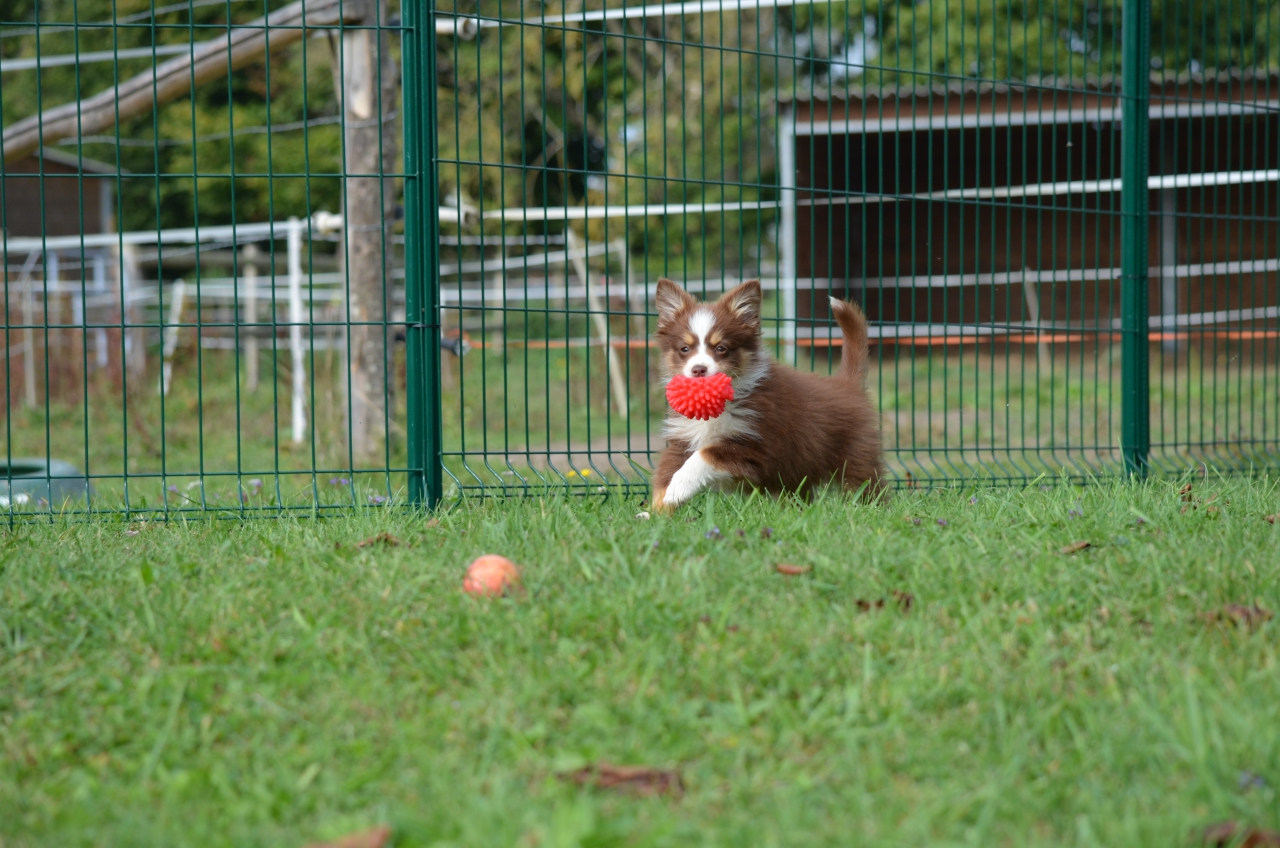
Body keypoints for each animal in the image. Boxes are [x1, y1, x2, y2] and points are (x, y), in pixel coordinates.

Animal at [650, 278, 884, 512]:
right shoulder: (682, 439)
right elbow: (666, 473)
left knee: (866, 486)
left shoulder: (756, 449)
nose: (699, 369)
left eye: (721, 348)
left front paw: (679, 486)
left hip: (856, 455)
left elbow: (704, 455)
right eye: (684, 349)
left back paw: (869, 510)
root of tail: (847, 383)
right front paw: (658, 509)